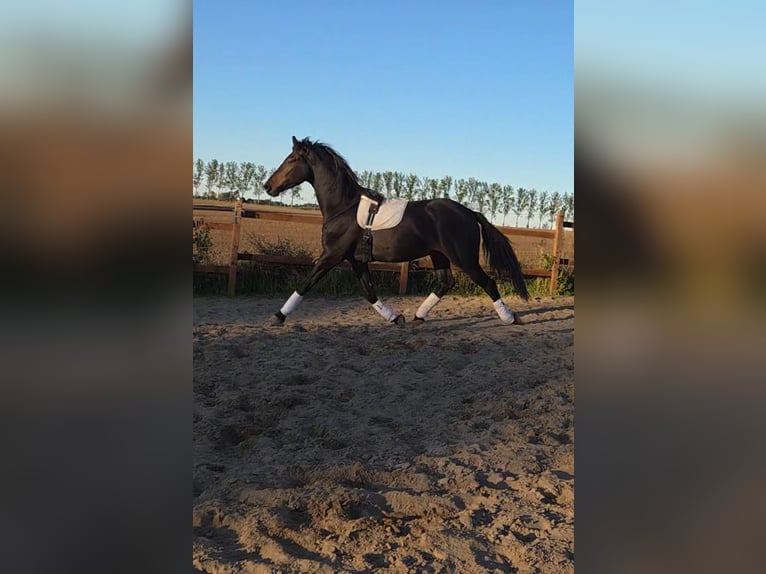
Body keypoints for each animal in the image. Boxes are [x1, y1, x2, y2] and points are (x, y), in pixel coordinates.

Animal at [263, 137, 528, 326]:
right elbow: (369, 292)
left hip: (463, 257)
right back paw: (418, 316)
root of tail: (469, 212)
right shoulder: (355, 259)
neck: (344, 207)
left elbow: (306, 283)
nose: (268, 186)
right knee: (446, 282)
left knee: (488, 282)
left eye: (291, 159)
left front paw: (278, 316)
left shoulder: (332, 255)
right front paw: (395, 318)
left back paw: (509, 318)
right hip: (439, 255)